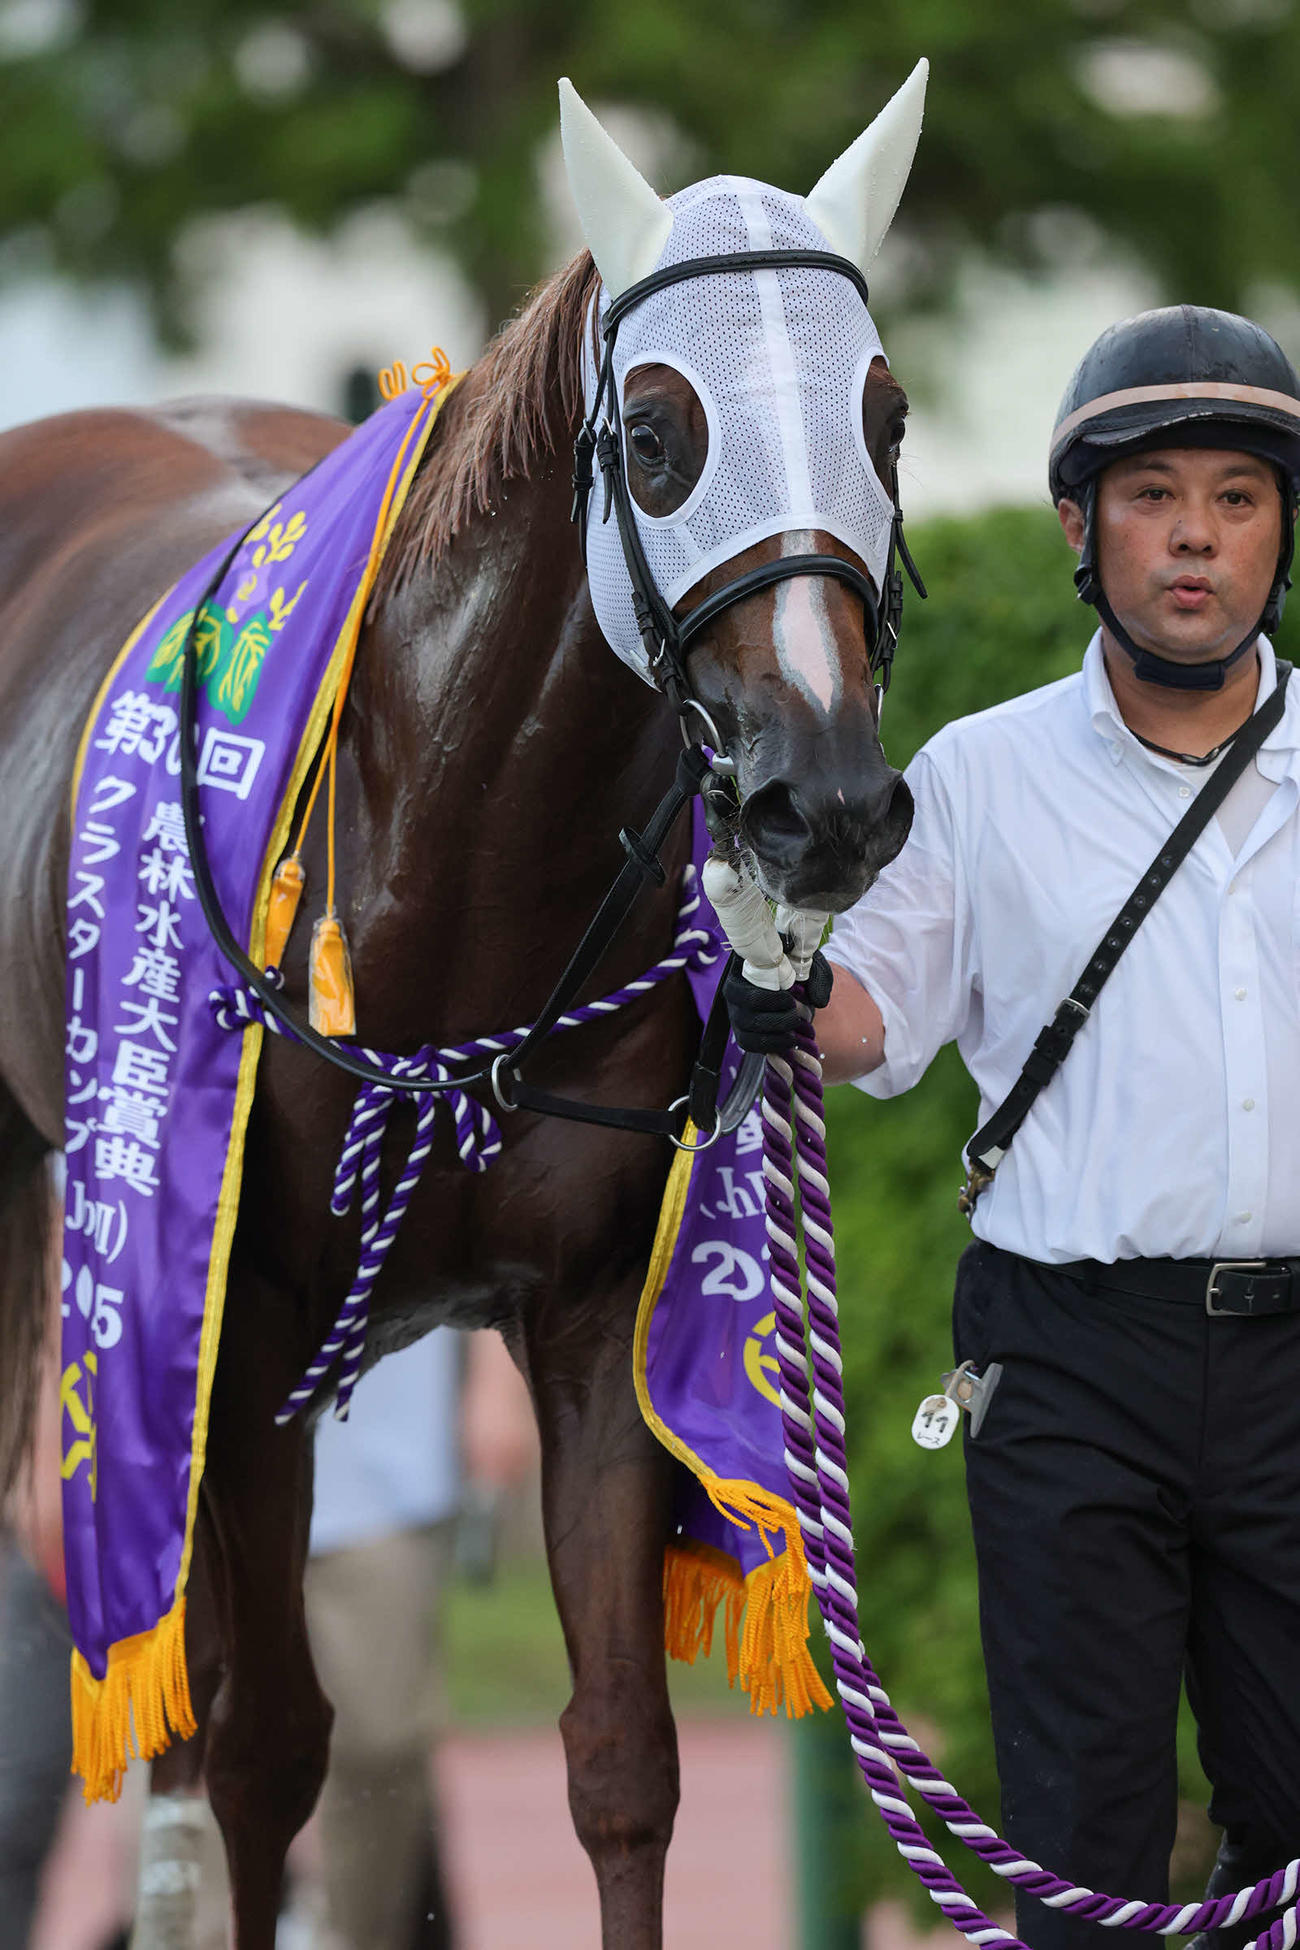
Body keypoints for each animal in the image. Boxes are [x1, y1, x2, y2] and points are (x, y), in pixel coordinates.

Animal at [0, 77, 922, 1949]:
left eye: (889, 417)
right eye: (661, 434)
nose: (825, 801)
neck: (444, 876)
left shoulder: (590, 1315)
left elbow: (623, 1754)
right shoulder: (240, 1316)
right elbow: (270, 1749)